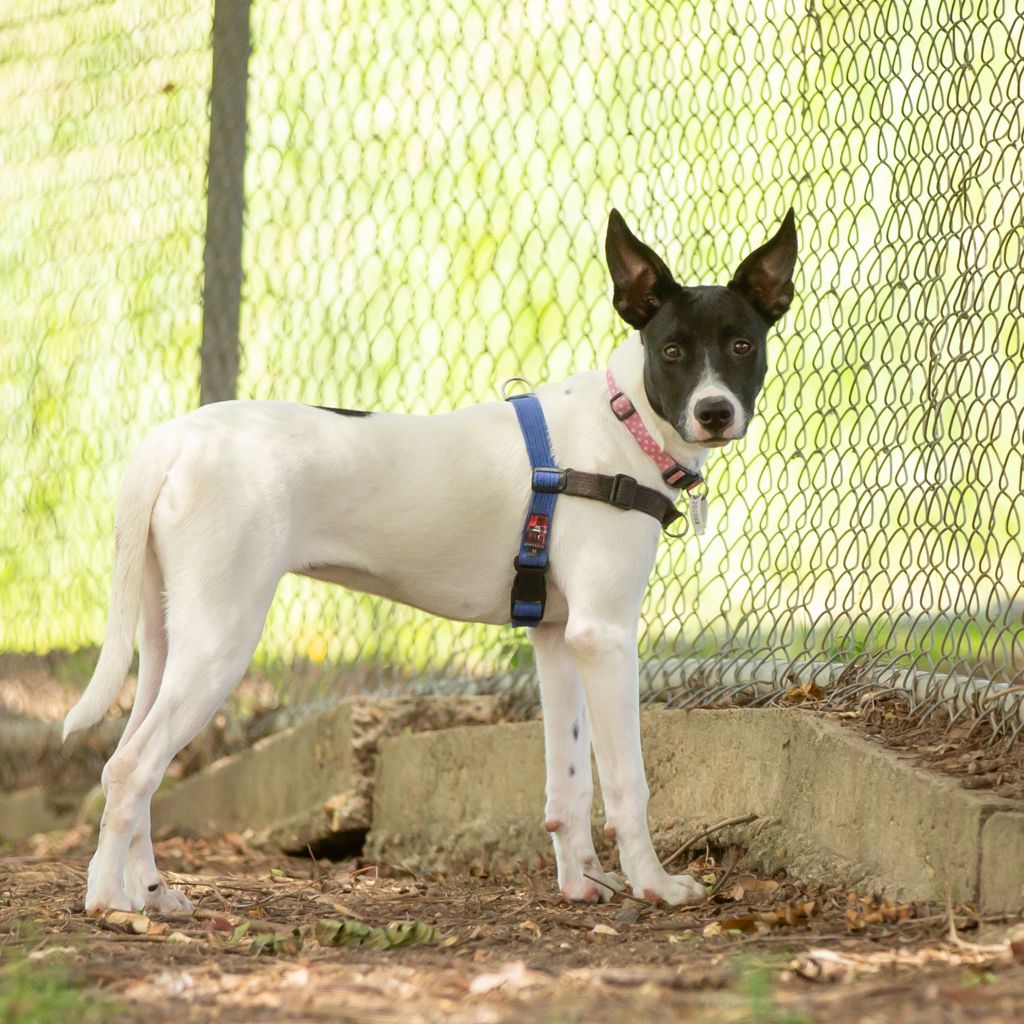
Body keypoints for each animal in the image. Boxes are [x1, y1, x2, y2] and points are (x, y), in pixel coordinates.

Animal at [63, 208, 797, 914]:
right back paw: (108, 902)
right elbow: (626, 781)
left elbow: (567, 783)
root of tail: (176, 437)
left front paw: (583, 884)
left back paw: (149, 891)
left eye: (742, 344)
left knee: (132, 763)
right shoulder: (606, 636)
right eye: (672, 351)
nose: (714, 412)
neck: (625, 420)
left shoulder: (558, 638)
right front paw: (653, 885)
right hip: (221, 639)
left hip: (166, 640)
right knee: (131, 767)